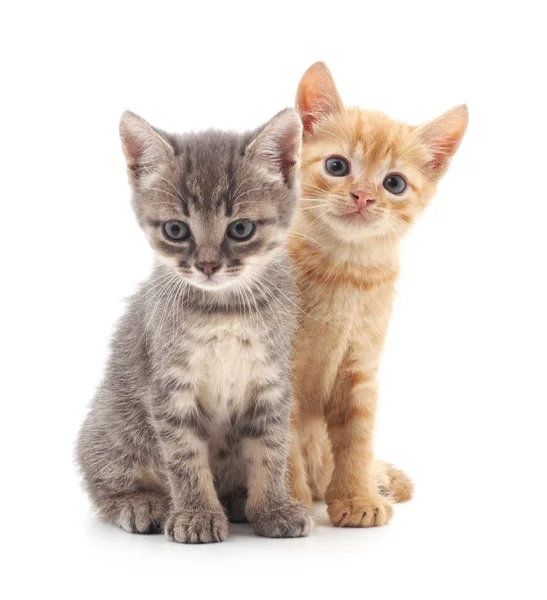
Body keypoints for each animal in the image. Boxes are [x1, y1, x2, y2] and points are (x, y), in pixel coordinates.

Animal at [76, 109, 312, 544]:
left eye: (241, 229)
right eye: (176, 230)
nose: (206, 265)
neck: (224, 310)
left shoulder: (272, 382)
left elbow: (271, 450)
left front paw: (272, 507)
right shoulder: (169, 388)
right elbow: (184, 458)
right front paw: (197, 514)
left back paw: (237, 503)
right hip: (112, 426)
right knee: (105, 482)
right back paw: (141, 502)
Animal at [288, 63, 468, 528]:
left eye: (394, 183)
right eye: (337, 166)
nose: (363, 196)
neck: (345, 273)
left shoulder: (360, 368)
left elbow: (357, 438)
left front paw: (356, 497)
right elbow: (280, 442)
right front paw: (288, 502)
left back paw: (379, 479)